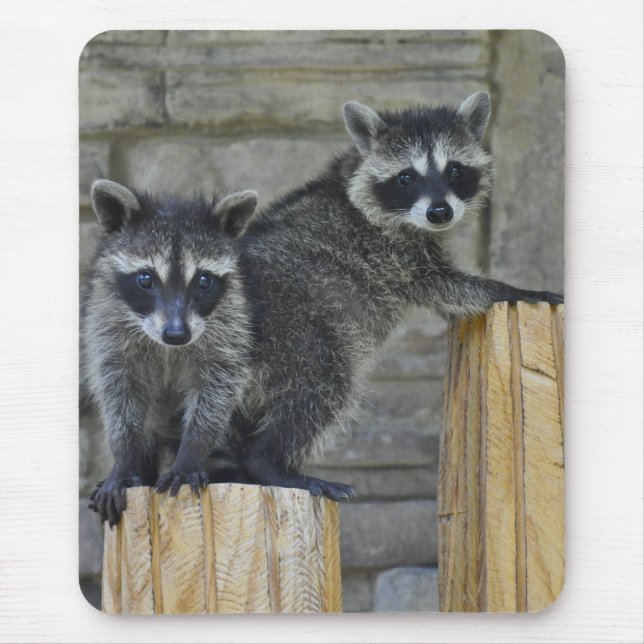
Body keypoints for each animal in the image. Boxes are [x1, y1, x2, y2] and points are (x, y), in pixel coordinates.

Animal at [83, 179, 258, 525]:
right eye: (145, 279)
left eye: (203, 280)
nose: (176, 335)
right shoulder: (106, 321)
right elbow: (117, 392)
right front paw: (124, 457)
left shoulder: (229, 323)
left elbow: (217, 389)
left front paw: (192, 451)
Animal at [233, 92, 563, 501]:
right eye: (406, 177)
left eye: (455, 170)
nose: (440, 212)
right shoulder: (394, 253)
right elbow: (449, 287)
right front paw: (516, 289)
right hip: (294, 325)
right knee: (321, 385)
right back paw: (268, 462)